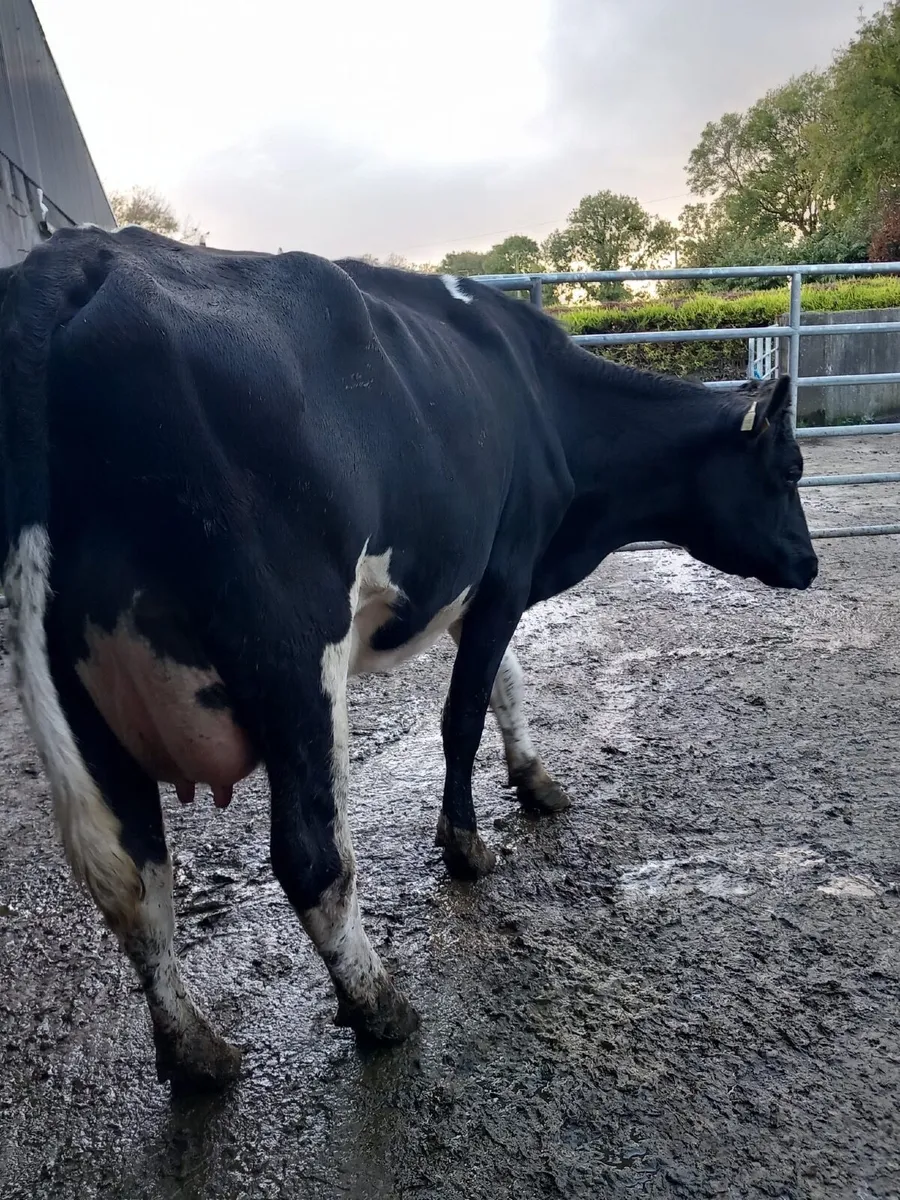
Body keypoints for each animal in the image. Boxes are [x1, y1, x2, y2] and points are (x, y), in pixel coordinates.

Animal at [0, 225, 817, 1092]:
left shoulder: (480, 582)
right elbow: (463, 715)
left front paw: (535, 779)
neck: (543, 405)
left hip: (69, 674)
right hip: (291, 647)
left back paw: (196, 1051)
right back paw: (377, 1004)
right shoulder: (505, 569)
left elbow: (508, 684)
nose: (810, 562)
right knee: (310, 853)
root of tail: (82, 256)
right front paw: (465, 844)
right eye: (789, 470)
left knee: (127, 875)